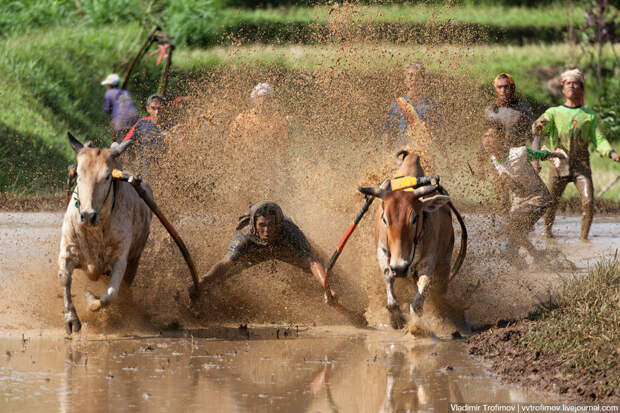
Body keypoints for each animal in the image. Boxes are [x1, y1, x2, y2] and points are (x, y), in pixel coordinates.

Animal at [57, 134, 152, 334]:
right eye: (79, 174)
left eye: (107, 176)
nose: (87, 215)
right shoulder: (68, 250)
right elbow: (64, 278)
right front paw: (71, 319)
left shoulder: (120, 259)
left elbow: (110, 295)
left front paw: (90, 300)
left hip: (135, 259)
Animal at [358, 150, 464, 328]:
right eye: (384, 219)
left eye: (415, 218)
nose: (400, 268)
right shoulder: (382, 252)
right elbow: (389, 284)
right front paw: (396, 318)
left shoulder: (429, 262)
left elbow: (417, 303)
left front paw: (416, 327)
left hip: (445, 262)